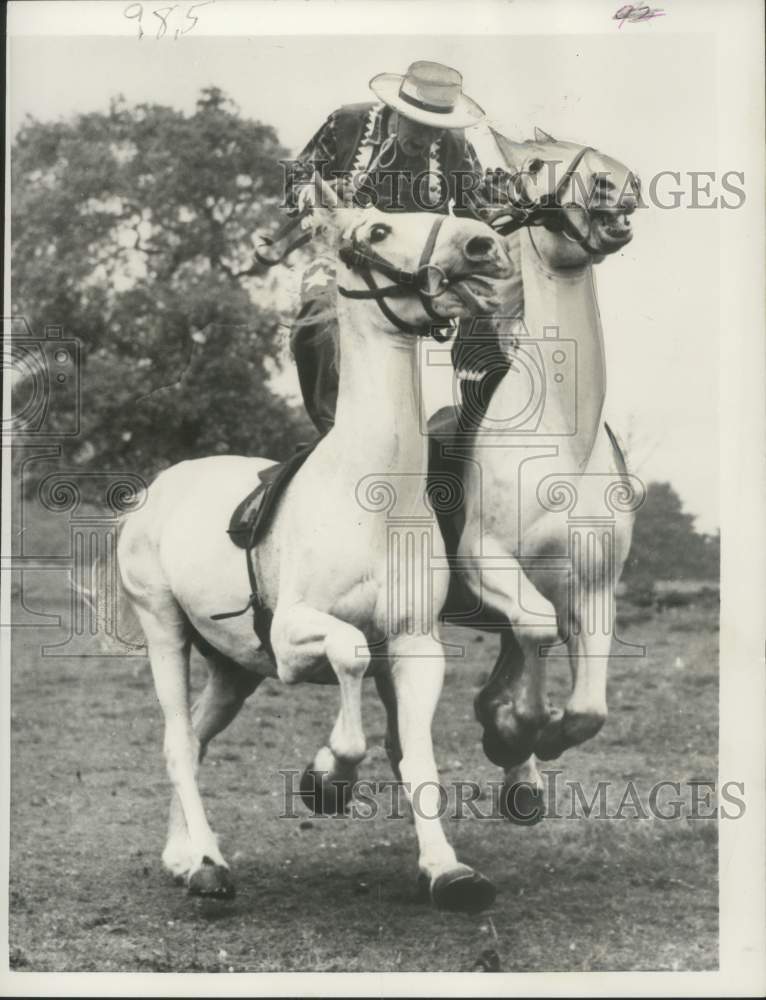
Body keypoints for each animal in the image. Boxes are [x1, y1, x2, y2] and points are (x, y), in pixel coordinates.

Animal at [115, 191, 516, 912]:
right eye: (379, 229)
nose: (483, 245)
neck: (372, 499)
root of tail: (159, 488)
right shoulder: (293, 638)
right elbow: (351, 655)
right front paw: (326, 776)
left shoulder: (415, 645)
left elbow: (418, 756)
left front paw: (447, 870)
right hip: (164, 629)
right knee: (177, 742)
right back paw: (207, 865)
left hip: (233, 669)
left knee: (195, 738)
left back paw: (182, 857)